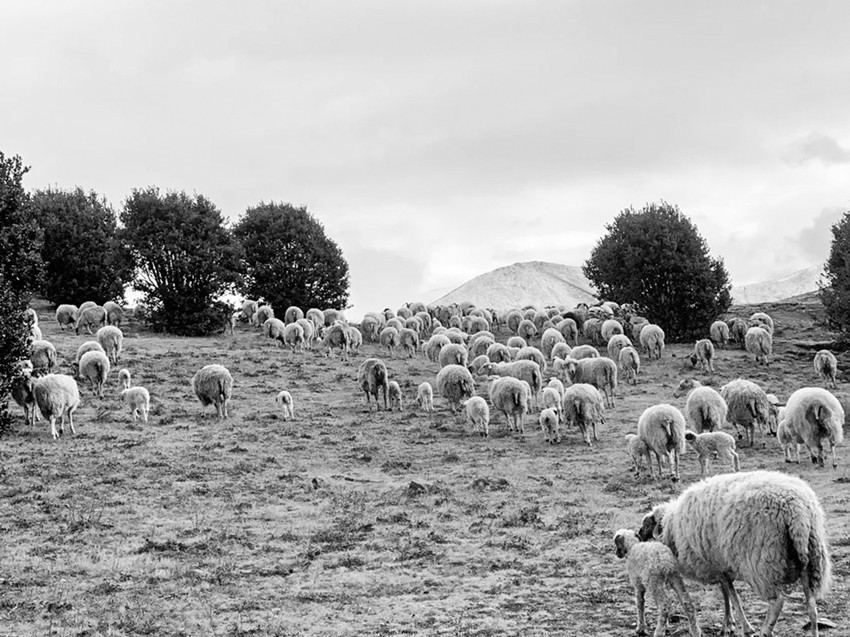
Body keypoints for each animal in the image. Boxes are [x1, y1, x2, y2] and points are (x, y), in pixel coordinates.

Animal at [637, 471, 832, 637]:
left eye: (647, 523)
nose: (638, 535)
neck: (670, 524)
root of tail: (796, 511)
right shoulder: (721, 565)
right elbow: (726, 593)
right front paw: (728, 624)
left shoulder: (716, 565)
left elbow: (733, 596)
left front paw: (744, 627)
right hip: (812, 559)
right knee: (812, 606)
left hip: (761, 563)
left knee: (777, 601)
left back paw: (764, 630)